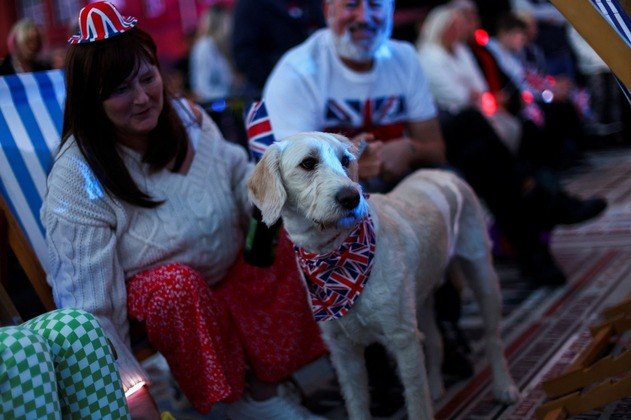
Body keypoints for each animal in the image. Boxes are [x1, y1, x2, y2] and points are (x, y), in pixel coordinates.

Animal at [247, 132, 520, 420]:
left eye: (346, 160)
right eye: (308, 163)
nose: (351, 197)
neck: (336, 261)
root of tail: (440, 173)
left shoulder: (403, 340)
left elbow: (417, 402)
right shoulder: (344, 352)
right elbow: (357, 404)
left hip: (483, 276)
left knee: (493, 338)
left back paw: (504, 386)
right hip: (422, 294)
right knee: (435, 340)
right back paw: (436, 387)